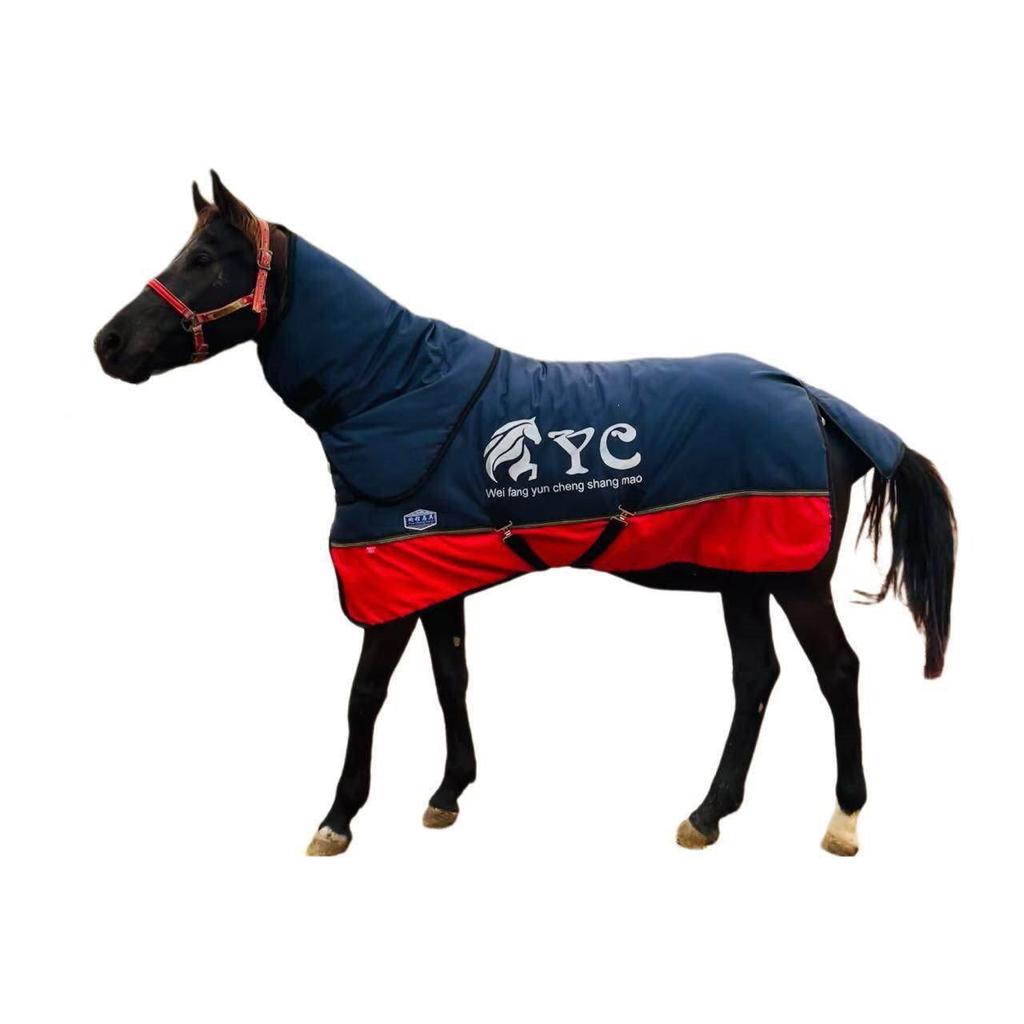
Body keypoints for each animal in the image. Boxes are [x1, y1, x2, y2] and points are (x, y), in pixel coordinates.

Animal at [94, 173, 956, 857]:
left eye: (204, 260)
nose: (108, 345)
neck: (394, 390)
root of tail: (815, 400)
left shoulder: (388, 581)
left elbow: (364, 695)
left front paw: (338, 817)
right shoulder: (431, 570)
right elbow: (451, 677)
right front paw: (448, 793)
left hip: (794, 576)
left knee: (836, 671)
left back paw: (843, 820)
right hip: (744, 573)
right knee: (756, 678)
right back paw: (708, 813)